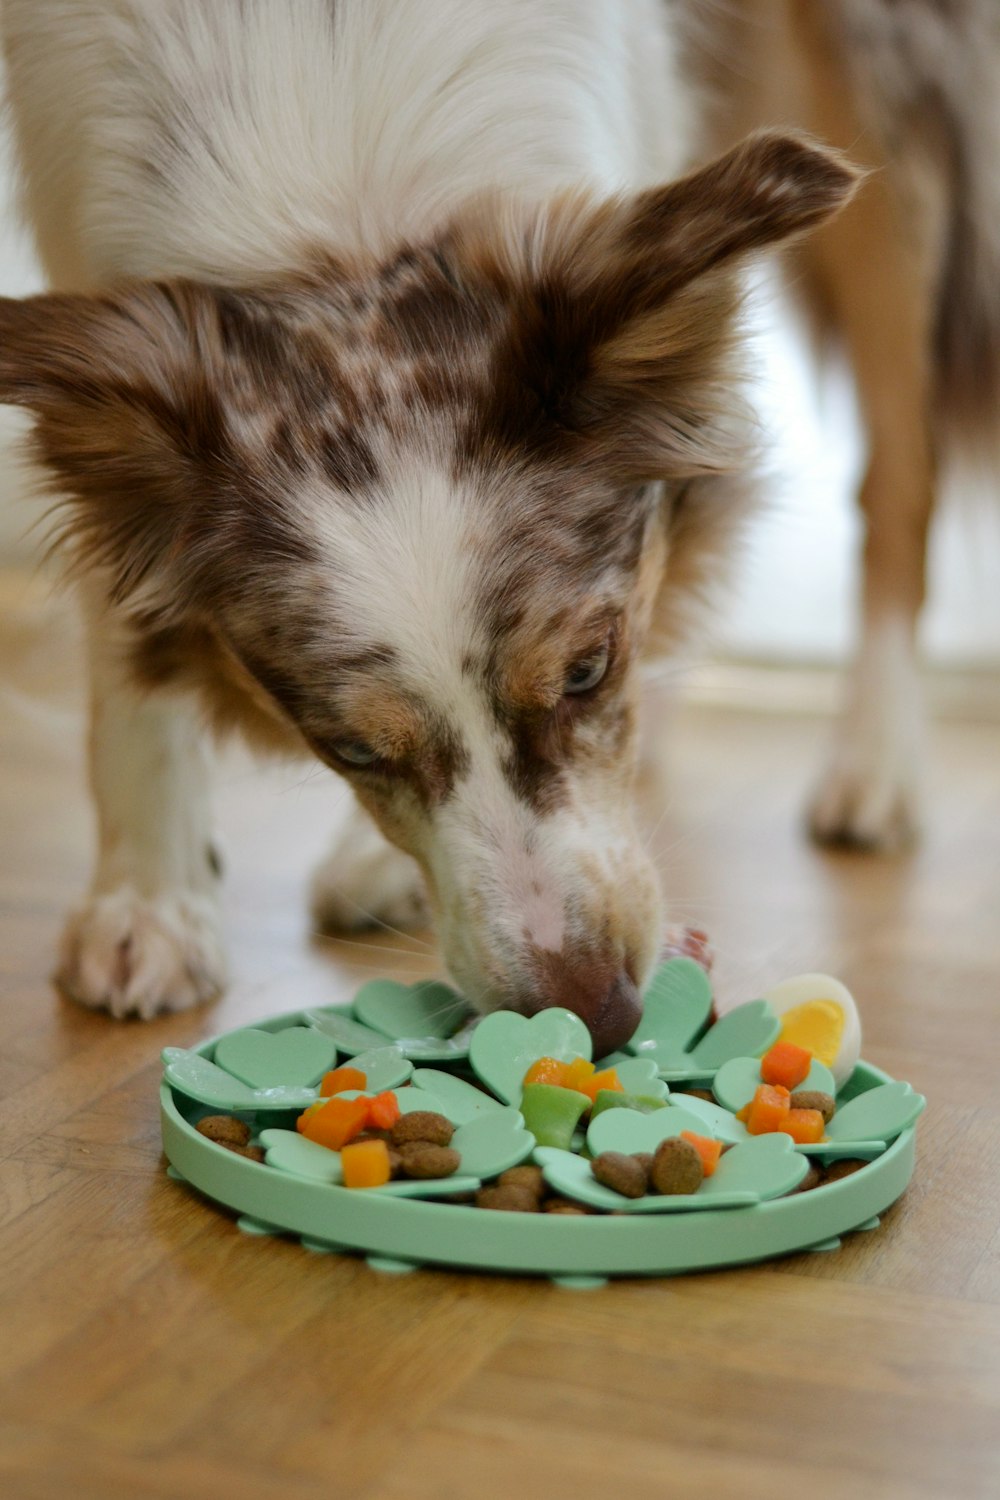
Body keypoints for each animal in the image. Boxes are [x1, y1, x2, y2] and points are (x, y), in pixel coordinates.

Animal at [0, 0, 869, 1044]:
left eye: (588, 670)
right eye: (350, 751)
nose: (595, 1015)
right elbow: (133, 669)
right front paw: (148, 907)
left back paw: (874, 780)